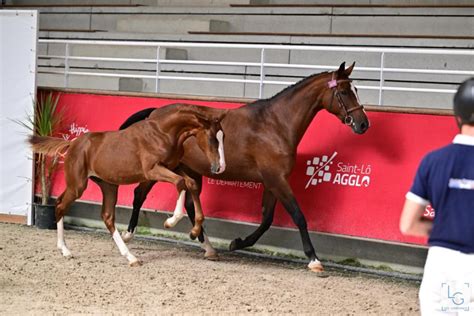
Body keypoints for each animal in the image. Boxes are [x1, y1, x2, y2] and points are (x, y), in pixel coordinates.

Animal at [29, 104, 226, 266]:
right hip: (78, 185)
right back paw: (65, 250)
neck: (163, 133)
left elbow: (190, 183)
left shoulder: (173, 167)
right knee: (61, 205)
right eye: (212, 138)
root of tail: (72, 143)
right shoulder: (152, 171)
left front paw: (194, 231)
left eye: (222, 136)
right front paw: (170, 222)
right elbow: (180, 182)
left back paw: (131, 257)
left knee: (107, 216)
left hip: (108, 186)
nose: (219, 167)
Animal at [119, 62, 370, 272]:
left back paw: (208, 248)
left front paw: (238, 243)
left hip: (191, 171)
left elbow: (266, 220)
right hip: (159, 168)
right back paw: (128, 235)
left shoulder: (272, 182)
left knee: (190, 204)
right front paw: (314, 259)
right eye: (344, 92)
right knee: (139, 194)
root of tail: (154, 113)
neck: (276, 124)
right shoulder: (277, 180)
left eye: (355, 89)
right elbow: (298, 216)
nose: (363, 124)